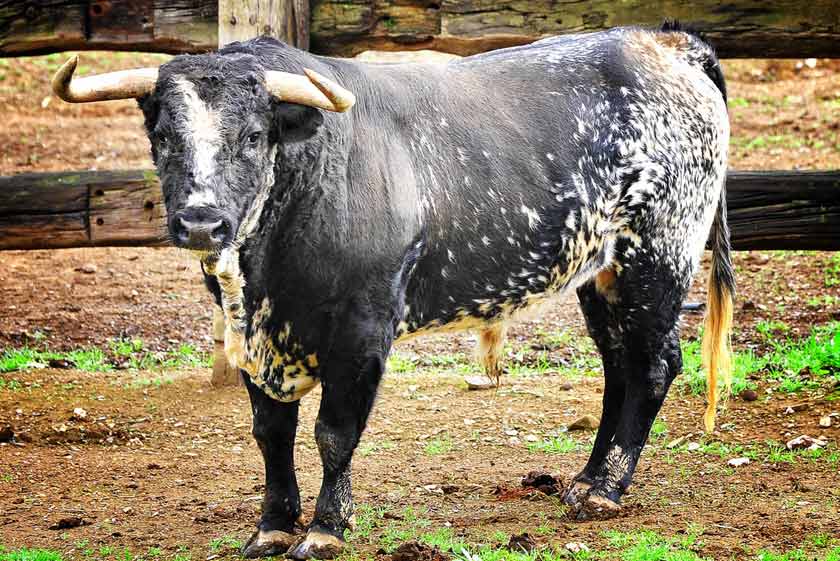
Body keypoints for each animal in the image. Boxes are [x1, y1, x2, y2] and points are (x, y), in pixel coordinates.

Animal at [54, 24, 736, 556]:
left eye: (253, 136)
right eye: (162, 136)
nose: (200, 221)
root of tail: (665, 42)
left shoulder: (362, 327)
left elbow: (333, 431)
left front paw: (325, 529)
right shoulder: (251, 334)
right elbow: (270, 430)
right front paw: (272, 526)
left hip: (659, 255)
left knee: (652, 365)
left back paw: (607, 492)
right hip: (602, 271)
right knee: (619, 365)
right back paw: (589, 478)